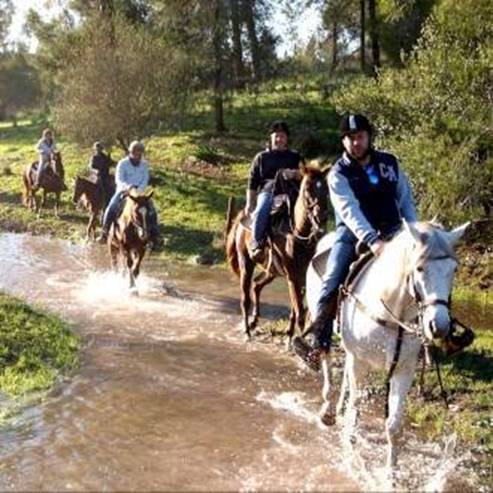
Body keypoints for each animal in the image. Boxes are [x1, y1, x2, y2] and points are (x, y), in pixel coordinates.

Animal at [225, 165, 328, 342]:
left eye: (326, 190)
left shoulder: (300, 277)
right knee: (245, 298)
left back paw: (254, 322)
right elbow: (299, 311)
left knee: (256, 285)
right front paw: (295, 341)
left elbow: (296, 309)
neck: (296, 232)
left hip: (271, 270)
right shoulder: (293, 276)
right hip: (246, 263)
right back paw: (247, 331)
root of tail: (244, 215)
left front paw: (290, 335)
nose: (320, 219)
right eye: (307, 189)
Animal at [304, 221, 468, 468]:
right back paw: (328, 409)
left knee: (345, 378)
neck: (391, 311)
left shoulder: (403, 369)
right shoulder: (360, 362)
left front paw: (391, 471)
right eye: (419, 268)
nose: (438, 326)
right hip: (325, 326)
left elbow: (393, 426)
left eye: (454, 269)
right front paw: (350, 452)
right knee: (328, 365)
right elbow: (355, 408)